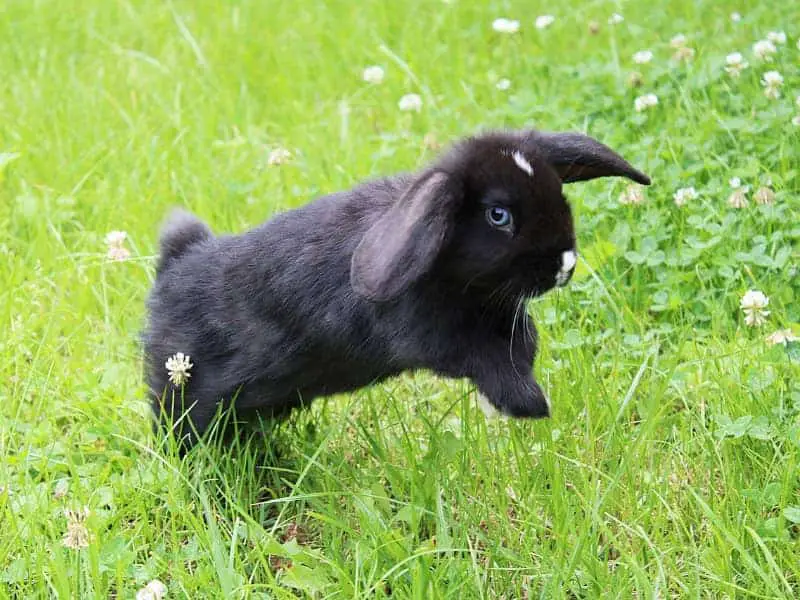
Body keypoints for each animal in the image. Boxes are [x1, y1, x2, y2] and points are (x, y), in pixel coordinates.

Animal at [145, 127, 648, 446]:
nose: (565, 265)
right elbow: (489, 361)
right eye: (498, 215)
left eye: (559, 193)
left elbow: (519, 346)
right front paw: (529, 405)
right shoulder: (439, 337)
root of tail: (175, 263)